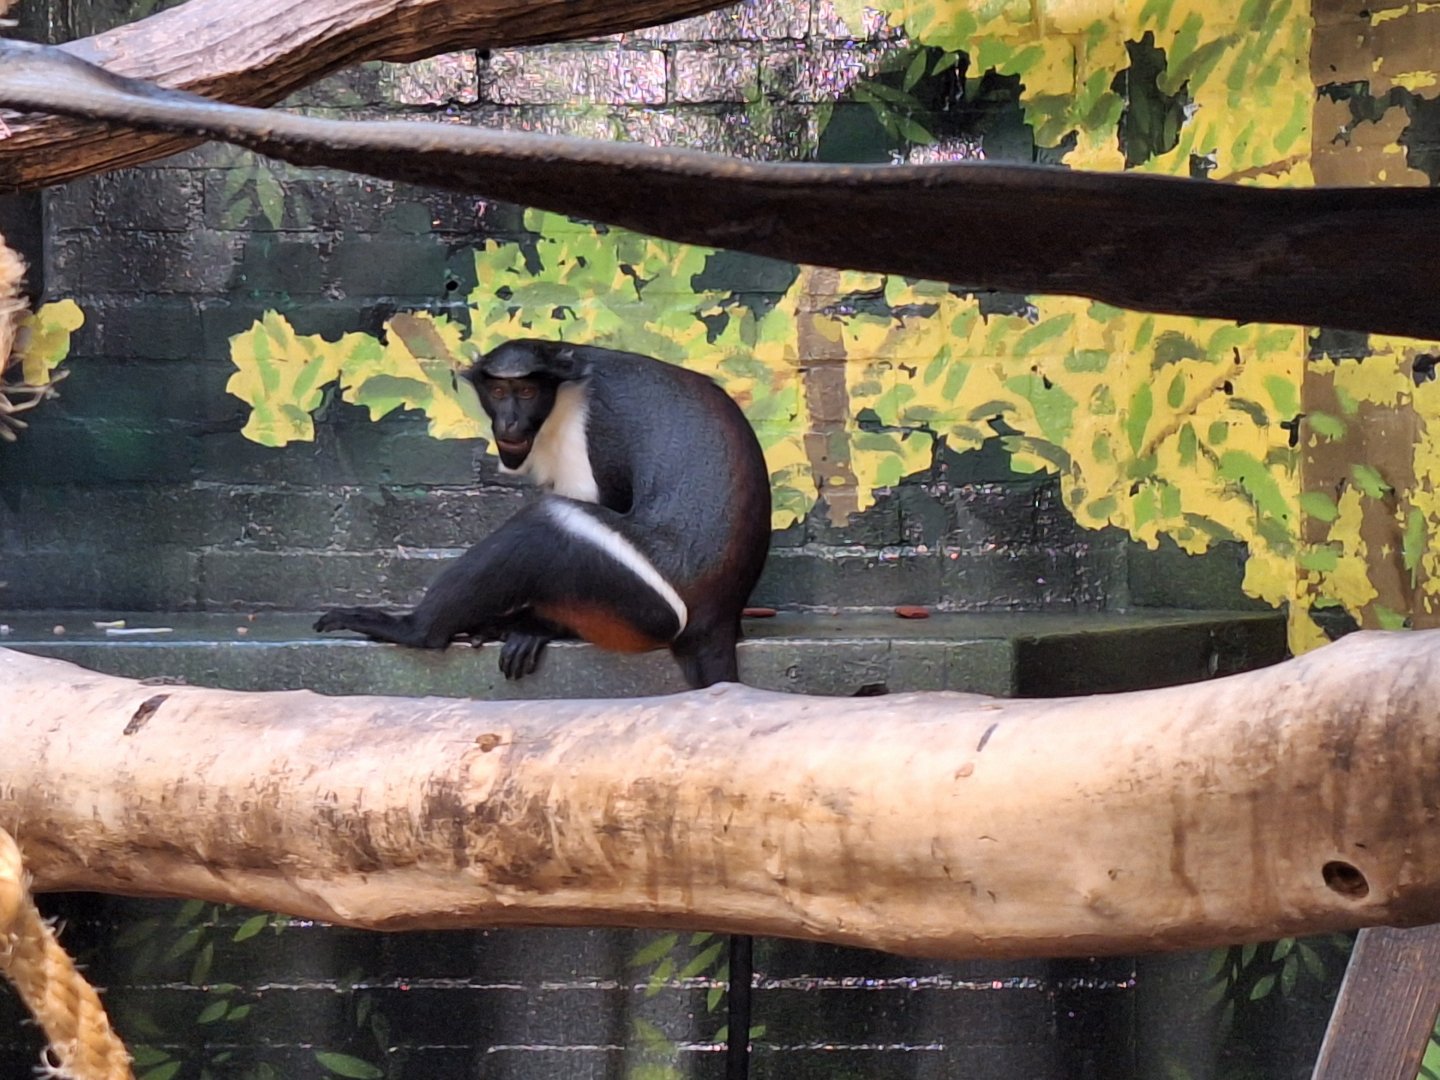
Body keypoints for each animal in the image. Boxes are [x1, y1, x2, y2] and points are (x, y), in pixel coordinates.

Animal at [314, 339, 772, 689]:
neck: (569, 382)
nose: (509, 422)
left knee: (543, 526)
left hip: (648, 602)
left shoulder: (587, 428)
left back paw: (417, 629)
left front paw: (534, 627)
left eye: (528, 393)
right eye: (500, 394)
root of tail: (716, 618)